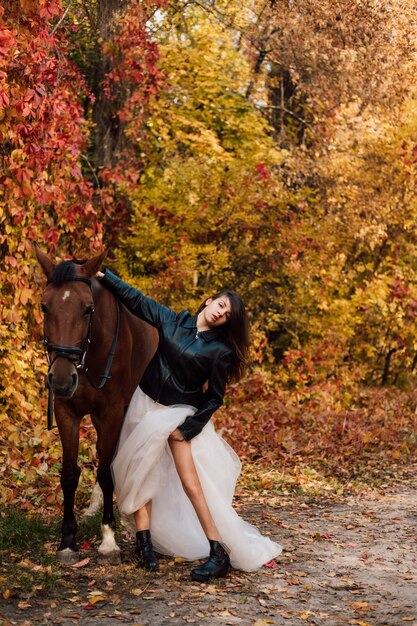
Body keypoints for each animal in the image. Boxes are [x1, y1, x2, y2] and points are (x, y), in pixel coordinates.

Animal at [35, 246, 156, 564]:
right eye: (44, 307)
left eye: (88, 309)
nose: (61, 379)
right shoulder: (67, 412)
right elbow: (69, 474)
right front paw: (67, 540)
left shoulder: (110, 413)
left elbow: (105, 471)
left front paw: (109, 539)